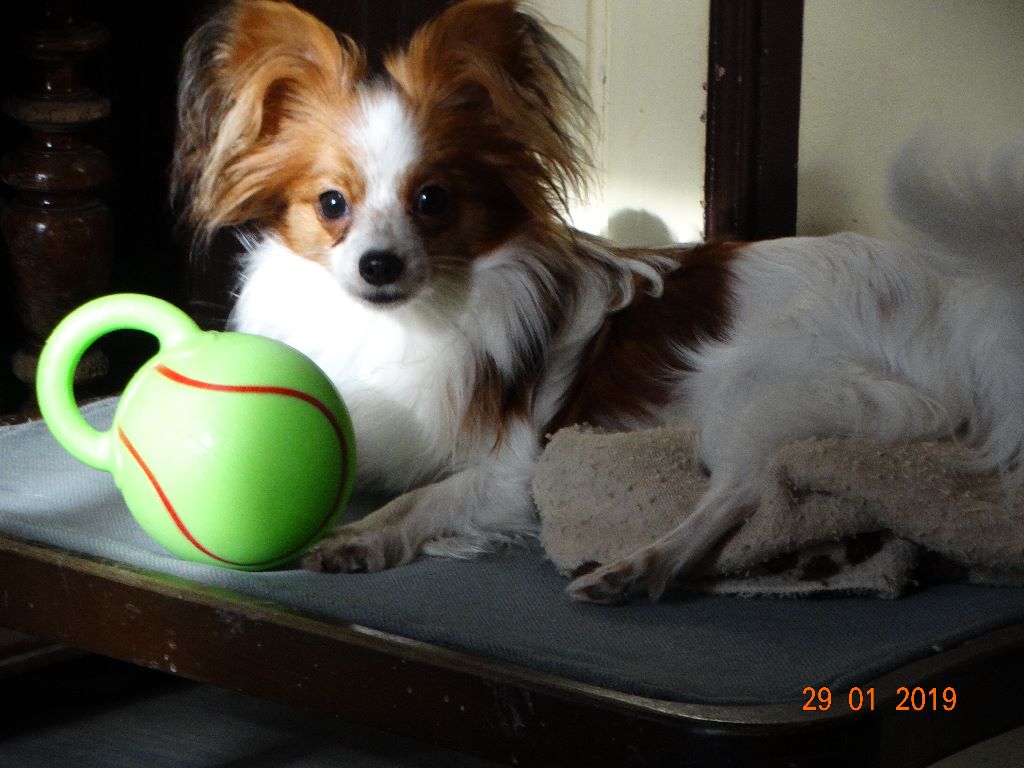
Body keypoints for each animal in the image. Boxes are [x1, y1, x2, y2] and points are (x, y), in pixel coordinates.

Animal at [172, 0, 1024, 603]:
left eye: (432, 201)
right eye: (331, 204)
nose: (378, 265)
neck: (400, 322)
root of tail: (951, 300)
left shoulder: (514, 470)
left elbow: (425, 500)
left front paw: (363, 538)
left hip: (755, 389)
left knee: (744, 493)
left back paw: (641, 568)